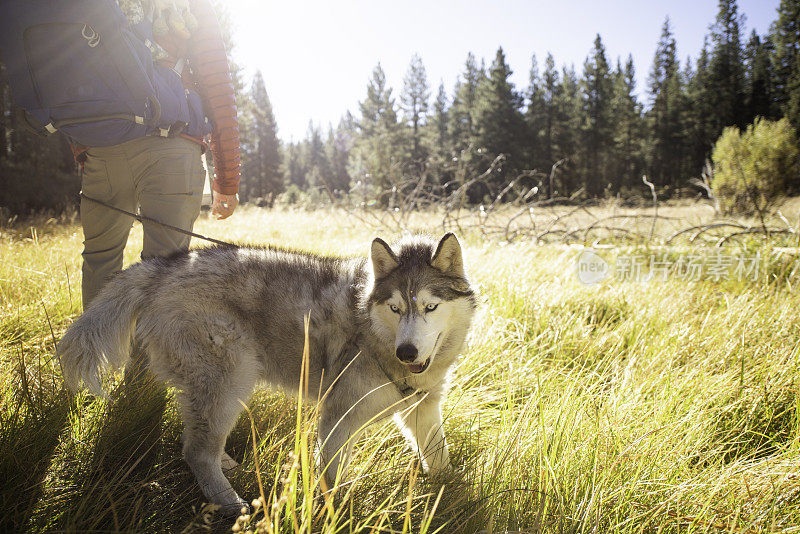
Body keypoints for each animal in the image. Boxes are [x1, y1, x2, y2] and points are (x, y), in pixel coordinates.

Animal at [61, 233, 482, 516]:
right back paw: (230, 502)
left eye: (430, 306)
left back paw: (226, 464)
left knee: (194, 438)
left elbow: (439, 457)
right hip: (231, 381)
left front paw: (455, 494)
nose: (406, 351)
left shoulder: (423, 409)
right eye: (395, 308)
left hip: (212, 390)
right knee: (196, 451)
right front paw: (332, 516)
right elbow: (330, 478)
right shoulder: (337, 417)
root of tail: (162, 266)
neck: (373, 333)